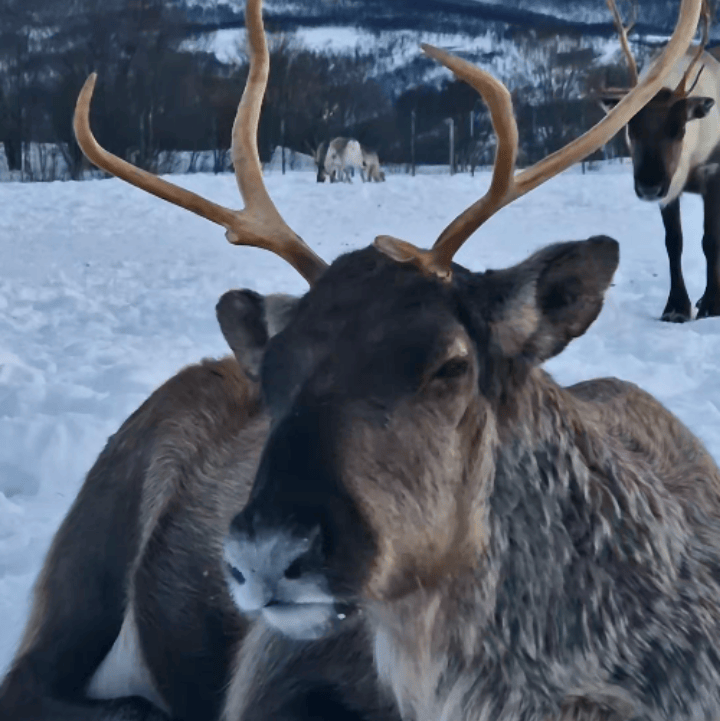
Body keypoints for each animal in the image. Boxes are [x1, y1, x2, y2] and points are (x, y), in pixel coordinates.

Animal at [600, 0, 720, 322]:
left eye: (679, 128)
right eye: (630, 127)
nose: (649, 187)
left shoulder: (712, 173)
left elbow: (710, 240)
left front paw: (711, 304)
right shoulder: (670, 190)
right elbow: (673, 242)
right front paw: (676, 306)